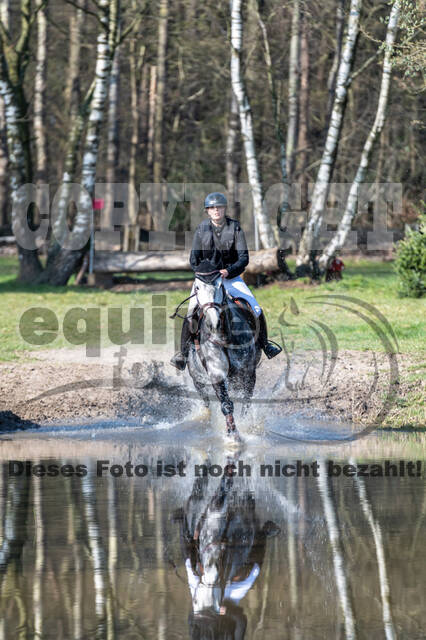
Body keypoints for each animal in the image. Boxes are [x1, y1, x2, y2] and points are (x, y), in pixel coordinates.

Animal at [186, 270, 260, 440]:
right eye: (197, 288)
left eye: (220, 285)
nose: (213, 323)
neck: (224, 335)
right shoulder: (216, 373)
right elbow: (226, 404)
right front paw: (233, 435)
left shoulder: (248, 372)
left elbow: (246, 401)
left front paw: (244, 427)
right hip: (197, 380)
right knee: (206, 401)